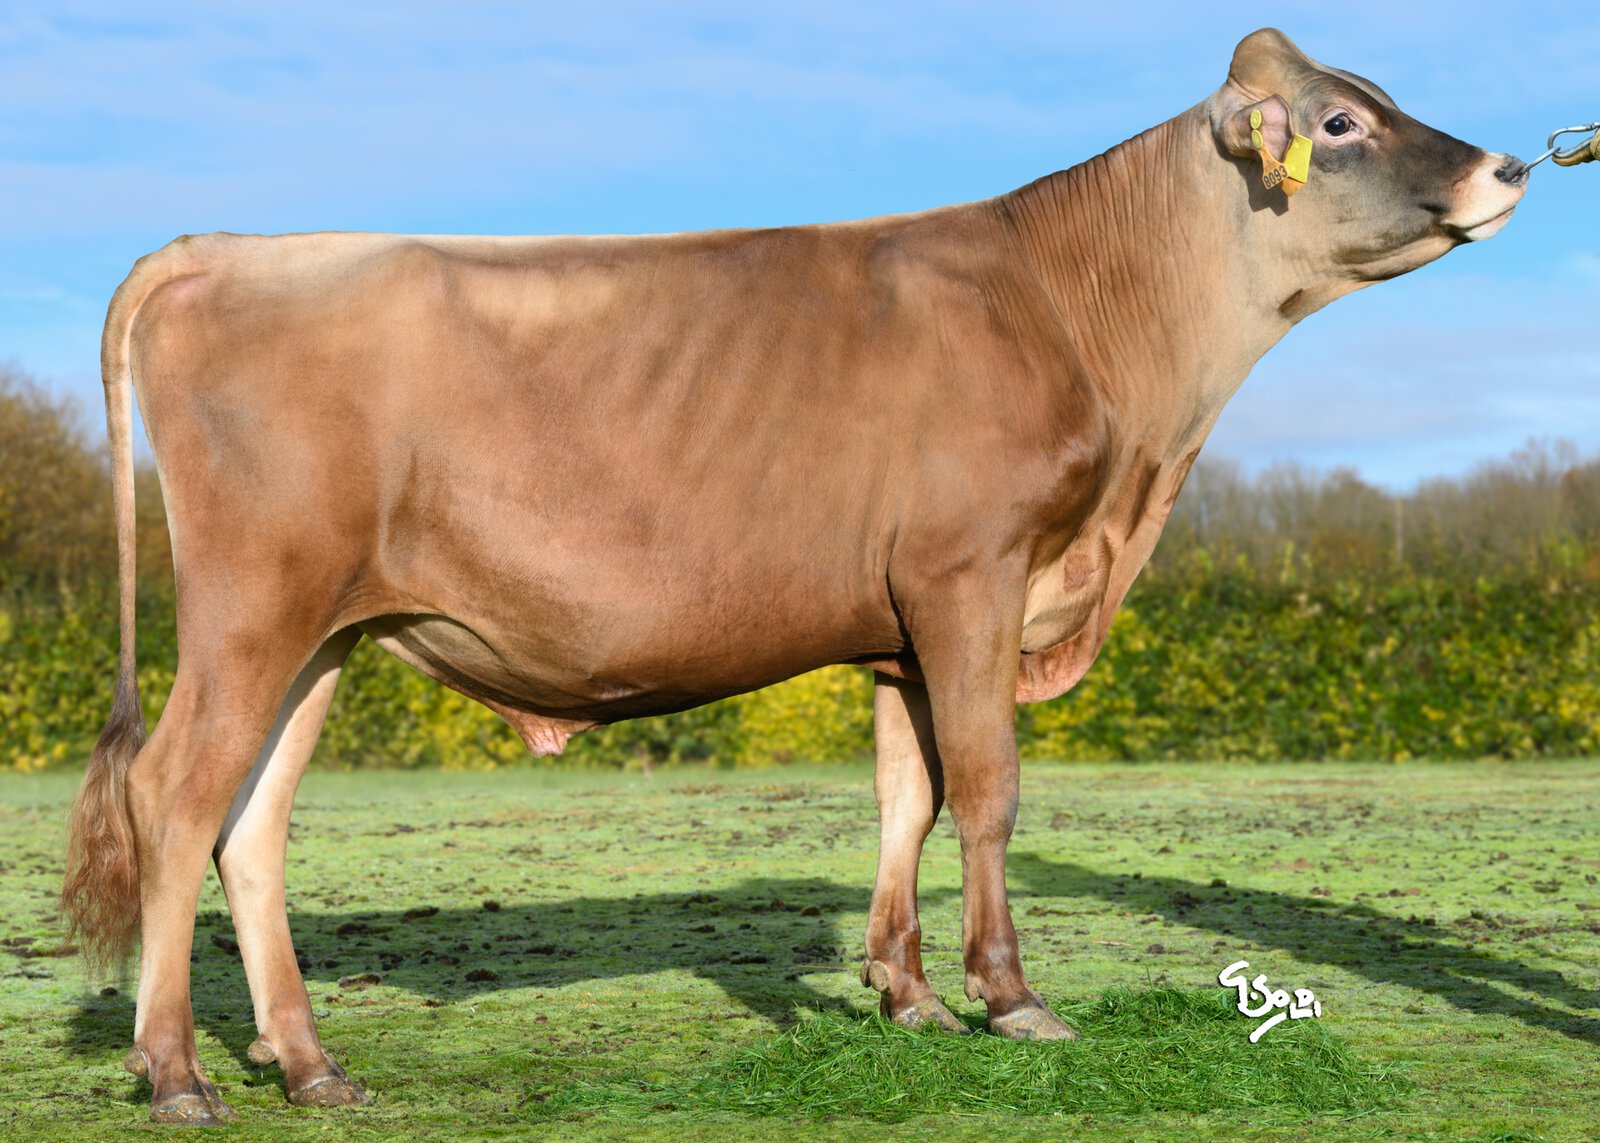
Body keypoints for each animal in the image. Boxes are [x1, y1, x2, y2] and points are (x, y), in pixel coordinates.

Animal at [60, 28, 1525, 1124]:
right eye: (1340, 120)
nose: (1509, 163)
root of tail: (228, 247)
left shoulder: (900, 622)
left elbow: (906, 799)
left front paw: (909, 997)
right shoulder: (972, 573)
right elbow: (986, 789)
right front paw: (1012, 999)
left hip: (324, 631)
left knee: (250, 821)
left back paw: (311, 1065)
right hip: (256, 605)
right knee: (173, 795)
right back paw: (176, 1072)